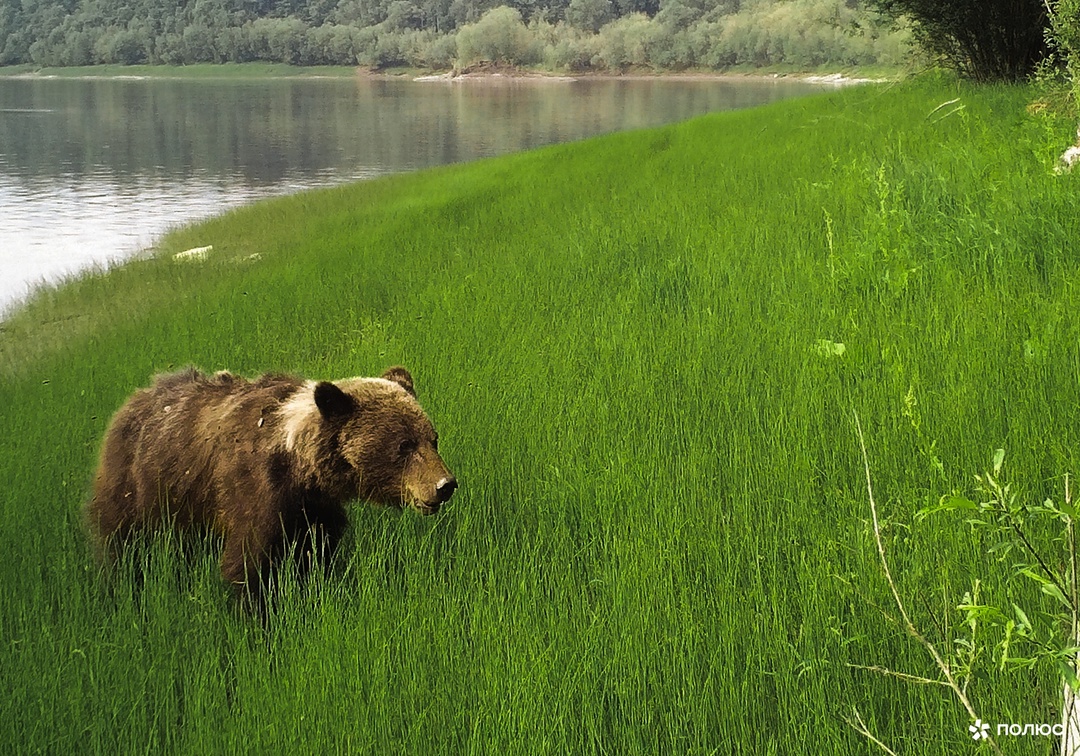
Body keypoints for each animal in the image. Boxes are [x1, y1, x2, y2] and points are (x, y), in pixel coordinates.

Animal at [85, 362, 455, 604]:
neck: (296, 462)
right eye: (403, 446)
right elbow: (249, 566)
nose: (444, 485)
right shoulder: (255, 493)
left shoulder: (313, 508)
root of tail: (126, 406)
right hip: (135, 489)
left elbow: (317, 554)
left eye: (432, 439)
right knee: (123, 547)